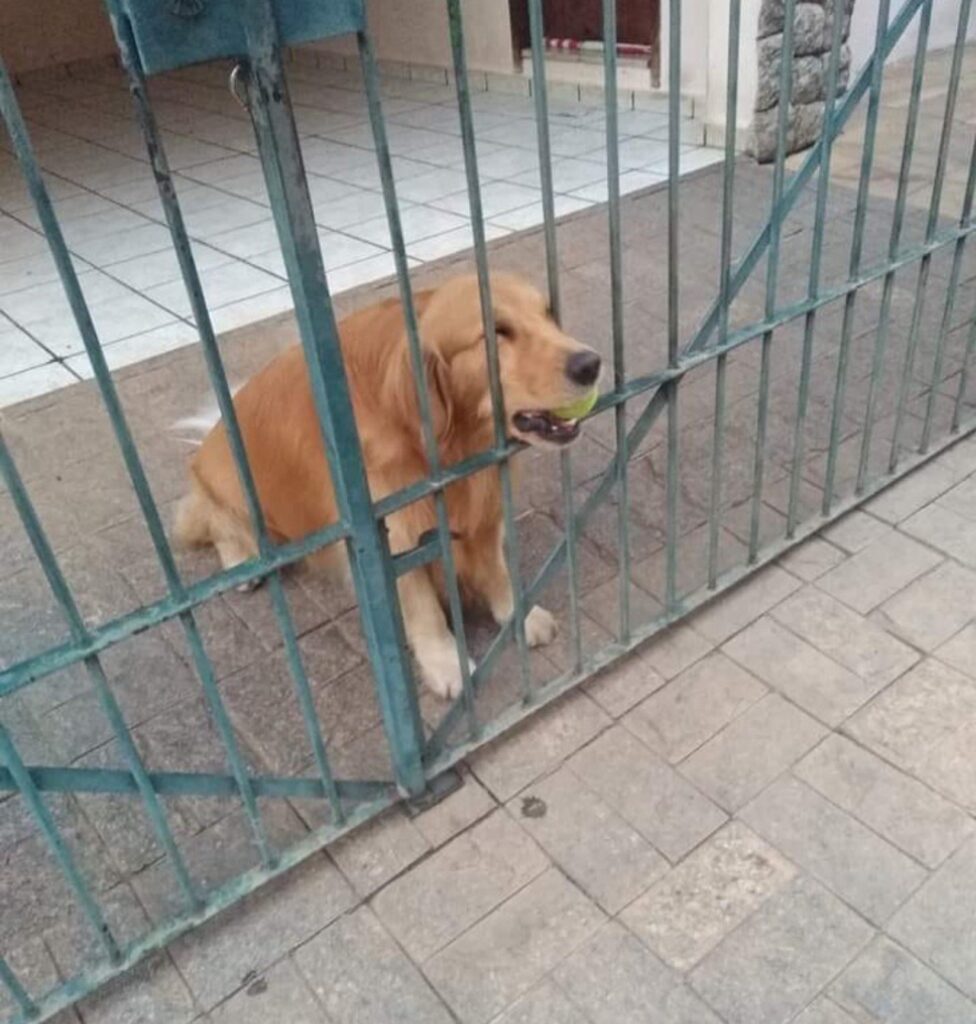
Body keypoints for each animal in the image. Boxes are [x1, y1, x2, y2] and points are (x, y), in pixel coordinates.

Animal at [176, 274, 602, 696]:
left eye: (548, 314)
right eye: (497, 331)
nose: (591, 364)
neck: (446, 447)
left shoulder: (486, 508)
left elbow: (498, 571)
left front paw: (521, 615)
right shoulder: (394, 535)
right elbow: (425, 611)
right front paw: (447, 665)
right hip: (232, 489)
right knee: (215, 522)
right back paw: (241, 561)